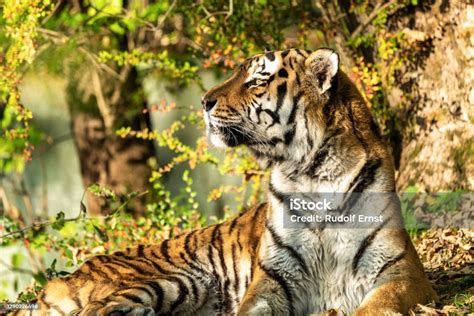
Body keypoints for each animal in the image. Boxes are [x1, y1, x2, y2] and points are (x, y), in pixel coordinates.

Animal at [10, 47, 436, 316]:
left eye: (256, 81)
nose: (204, 101)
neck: (311, 173)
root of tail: (61, 280)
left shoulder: (401, 272)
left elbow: (375, 307)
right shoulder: (273, 281)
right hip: (180, 278)